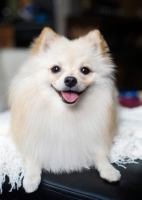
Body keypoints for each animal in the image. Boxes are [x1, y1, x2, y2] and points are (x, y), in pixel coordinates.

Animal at [8, 27, 120, 193]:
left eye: (85, 70)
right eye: (55, 69)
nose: (71, 80)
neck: (66, 112)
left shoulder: (96, 136)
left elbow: (101, 155)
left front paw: (109, 170)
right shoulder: (33, 138)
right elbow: (33, 156)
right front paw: (31, 179)